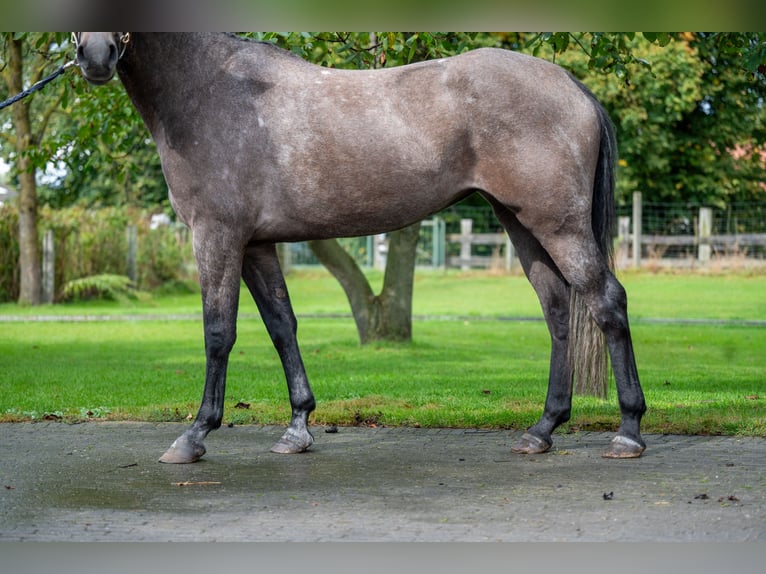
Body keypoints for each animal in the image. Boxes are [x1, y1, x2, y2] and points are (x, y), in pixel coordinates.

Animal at [75, 31, 648, 466]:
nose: (96, 56)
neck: (210, 88)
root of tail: (571, 85)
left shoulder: (216, 235)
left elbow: (219, 332)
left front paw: (194, 436)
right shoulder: (256, 245)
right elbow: (282, 327)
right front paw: (298, 428)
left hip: (559, 226)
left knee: (606, 302)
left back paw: (628, 431)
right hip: (521, 224)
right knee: (557, 311)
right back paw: (543, 429)